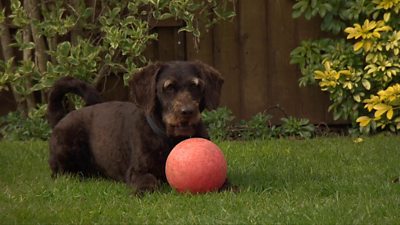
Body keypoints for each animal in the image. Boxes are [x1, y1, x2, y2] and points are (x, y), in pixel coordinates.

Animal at [46, 59, 225, 193]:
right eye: (169, 87)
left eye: (196, 86)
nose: (187, 111)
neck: (170, 140)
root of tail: (61, 118)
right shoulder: (137, 171)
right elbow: (148, 180)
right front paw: (145, 189)